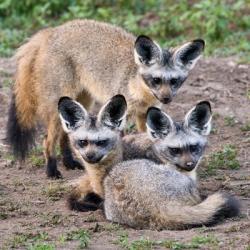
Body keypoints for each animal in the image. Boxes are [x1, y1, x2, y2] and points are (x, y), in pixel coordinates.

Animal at [6, 19, 204, 179]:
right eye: (156, 80)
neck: (140, 92)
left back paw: (69, 162)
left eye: (174, 81)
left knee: (66, 134)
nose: (166, 99)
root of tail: (53, 30)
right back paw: (52, 170)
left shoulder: (143, 114)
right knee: (47, 140)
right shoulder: (122, 114)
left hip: (82, 101)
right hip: (59, 107)